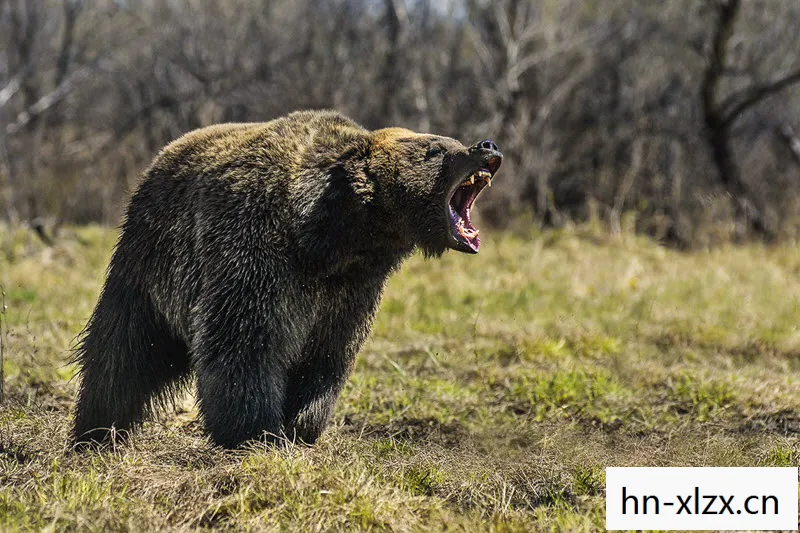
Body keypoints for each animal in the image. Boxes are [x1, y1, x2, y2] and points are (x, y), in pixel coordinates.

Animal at [72, 110, 502, 449]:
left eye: (450, 141)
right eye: (435, 149)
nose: (487, 145)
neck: (331, 239)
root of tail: (163, 154)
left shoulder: (351, 291)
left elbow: (326, 356)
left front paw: (302, 425)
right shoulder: (257, 254)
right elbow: (244, 344)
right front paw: (256, 432)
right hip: (150, 264)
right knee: (121, 350)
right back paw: (95, 431)